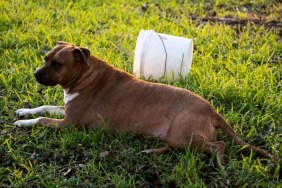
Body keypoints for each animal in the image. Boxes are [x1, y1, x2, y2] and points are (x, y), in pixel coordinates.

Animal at [13, 40, 274, 163]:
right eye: (45, 58)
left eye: (58, 64)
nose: (35, 74)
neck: (86, 75)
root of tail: (212, 110)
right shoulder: (66, 111)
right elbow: (44, 107)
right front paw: (23, 111)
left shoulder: (70, 124)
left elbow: (42, 118)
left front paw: (23, 123)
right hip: (176, 136)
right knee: (178, 148)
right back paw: (150, 150)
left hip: (183, 135)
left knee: (217, 145)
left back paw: (219, 163)